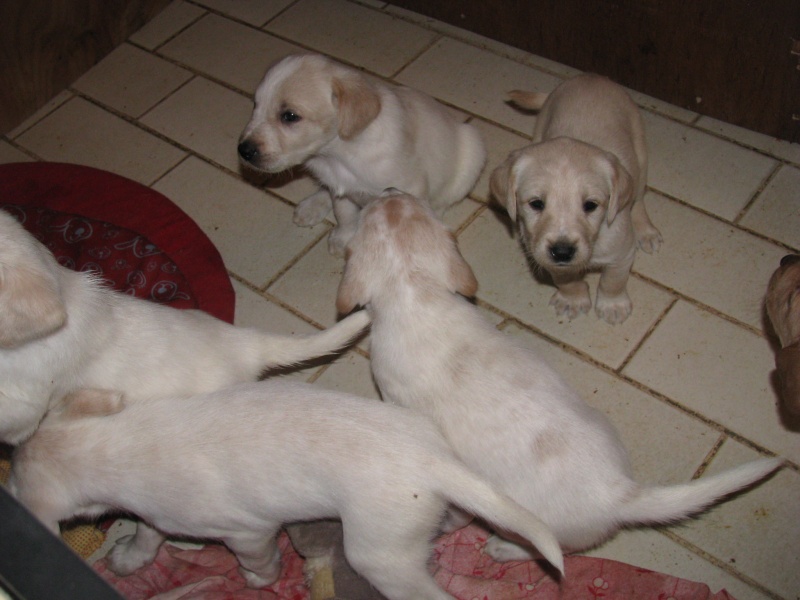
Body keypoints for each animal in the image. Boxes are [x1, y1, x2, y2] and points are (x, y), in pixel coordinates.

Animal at [10, 384, 564, 600]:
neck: (115, 444)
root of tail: (430, 460)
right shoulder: (161, 514)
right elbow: (148, 533)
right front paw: (128, 558)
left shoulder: (247, 531)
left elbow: (257, 560)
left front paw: (259, 581)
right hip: (427, 508)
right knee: (457, 517)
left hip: (378, 554)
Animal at [238, 52, 488, 255]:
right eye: (255, 105)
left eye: (290, 116)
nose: (243, 151)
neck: (336, 156)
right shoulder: (339, 189)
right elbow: (344, 214)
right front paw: (343, 239)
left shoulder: (410, 187)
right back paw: (311, 206)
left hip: (473, 152)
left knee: (444, 199)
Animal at [338, 195, 780, 560]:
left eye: (373, 207)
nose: (388, 188)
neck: (415, 291)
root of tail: (619, 494)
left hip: (526, 527)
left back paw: (501, 549)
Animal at [494, 73, 664, 326]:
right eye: (536, 204)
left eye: (590, 205)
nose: (563, 251)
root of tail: (590, 77)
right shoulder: (548, 257)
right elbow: (565, 279)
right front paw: (572, 299)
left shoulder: (622, 253)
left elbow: (613, 280)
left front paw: (613, 305)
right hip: (540, 125)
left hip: (640, 154)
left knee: (638, 199)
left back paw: (647, 231)